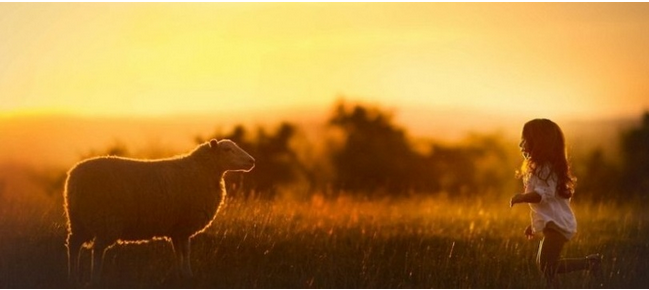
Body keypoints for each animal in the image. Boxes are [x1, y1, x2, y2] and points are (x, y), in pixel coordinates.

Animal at [63, 139, 254, 284]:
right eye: (227, 150)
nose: (252, 161)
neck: (204, 171)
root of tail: (73, 178)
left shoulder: (176, 228)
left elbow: (177, 251)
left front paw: (180, 274)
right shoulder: (184, 226)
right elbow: (186, 251)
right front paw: (188, 274)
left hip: (79, 221)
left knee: (73, 245)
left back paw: (73, 275)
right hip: (106, 220)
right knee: (97, 250)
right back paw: (95, 278)